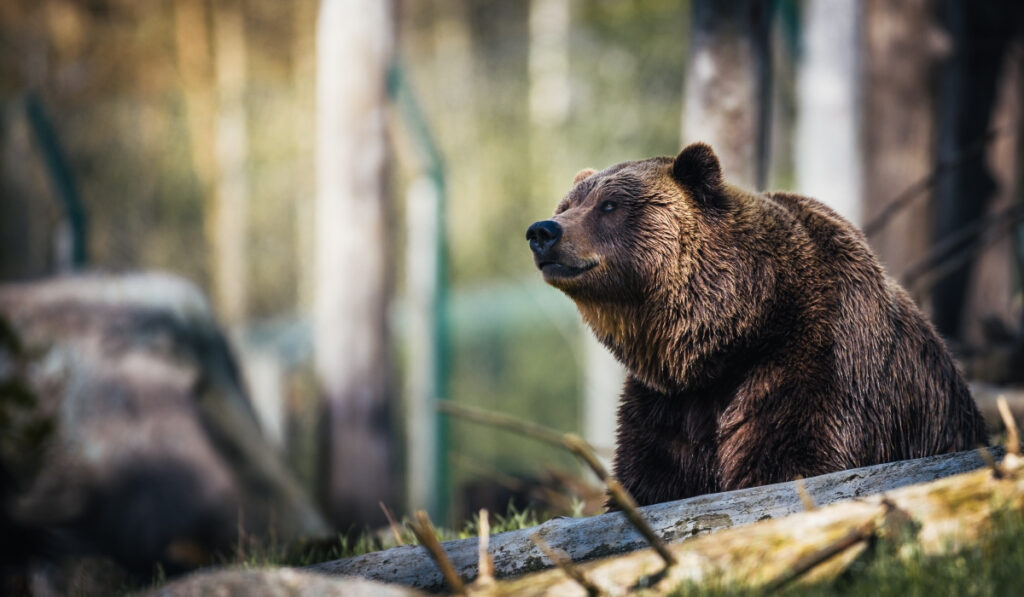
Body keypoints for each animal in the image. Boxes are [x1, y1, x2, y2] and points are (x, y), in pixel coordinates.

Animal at [524, 142, 987, 507]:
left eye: (610, 205)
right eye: (567, 205)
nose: (543, 231)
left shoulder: (816, 361)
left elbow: (792, 459)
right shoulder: (668, 404)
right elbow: (651, 477)